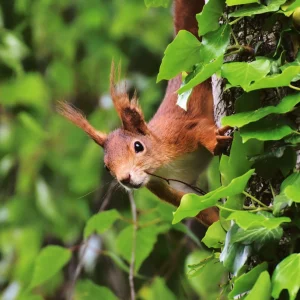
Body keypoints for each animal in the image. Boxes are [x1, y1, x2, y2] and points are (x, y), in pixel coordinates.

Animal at [57, 0, 231, 226]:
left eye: (138, 146)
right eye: (106, 167)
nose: (125, 179)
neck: (162, 166)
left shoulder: (181, 132)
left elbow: (200, 128)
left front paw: (216, 141)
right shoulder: (170, 187)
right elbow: (198, 207)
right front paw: (221, 225)